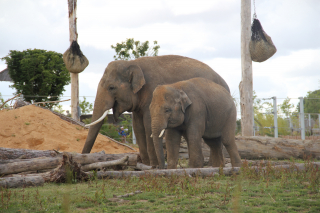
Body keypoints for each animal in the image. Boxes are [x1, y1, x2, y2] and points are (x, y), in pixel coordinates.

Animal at [81, 54, 229, 167]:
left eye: (111, 87)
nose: (82, 161)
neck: (133, 63)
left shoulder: (152, 92)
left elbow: (148, 126)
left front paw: (154, 165)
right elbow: (138, 127)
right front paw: (147, 165)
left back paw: (212, 165)